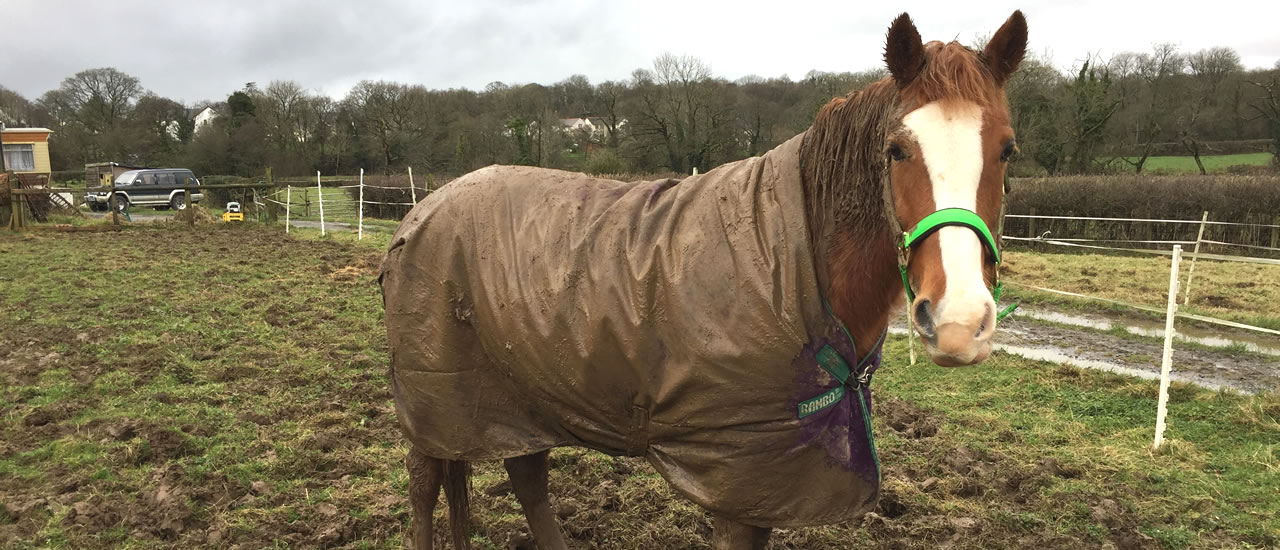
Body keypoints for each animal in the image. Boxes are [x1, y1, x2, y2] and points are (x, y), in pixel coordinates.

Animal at [379, 10, 1027, 549]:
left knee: (527, 475)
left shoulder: (771, 476)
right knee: (425, 484)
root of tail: (418, 213)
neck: (793, 256)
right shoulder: (742, 476)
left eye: (1008, 150)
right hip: (436, 404)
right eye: (895, 150)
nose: (959, 322)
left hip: (525, 395)